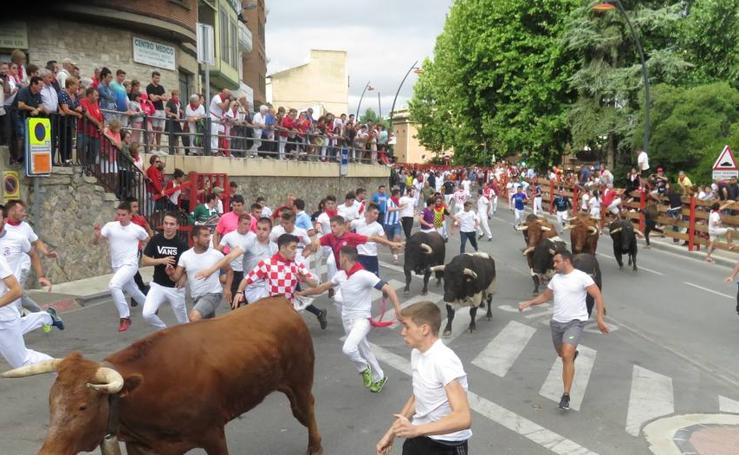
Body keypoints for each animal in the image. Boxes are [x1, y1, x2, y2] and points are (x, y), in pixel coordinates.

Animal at [2, 298, 322, 455]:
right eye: (51, 403)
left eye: (83, 406)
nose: (48, 453)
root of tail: (278, 302)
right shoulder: (141, 448)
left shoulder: (213, 434)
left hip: (300, 378)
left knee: (307, 406)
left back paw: (315, 446)